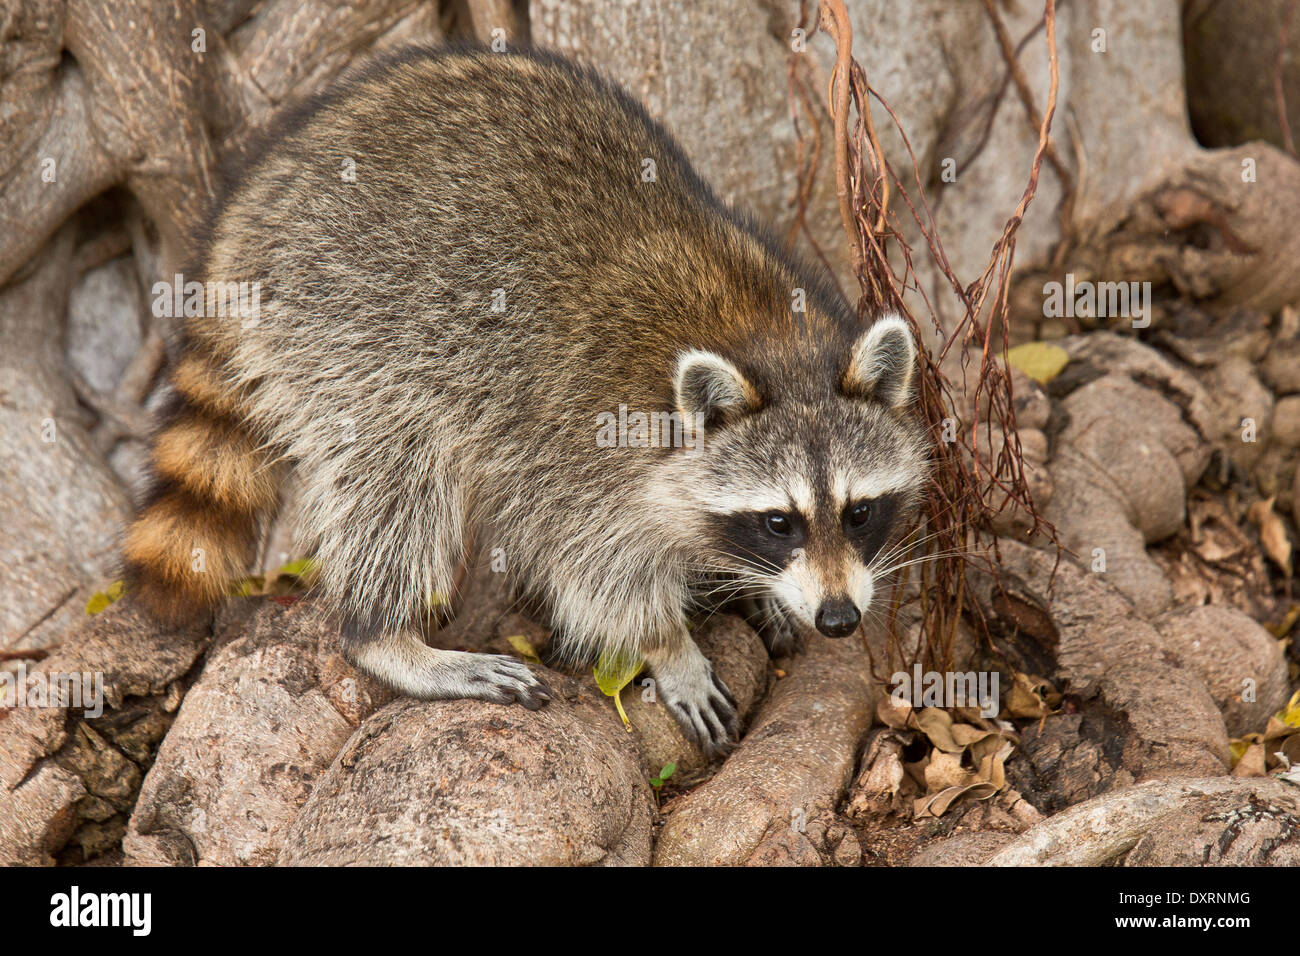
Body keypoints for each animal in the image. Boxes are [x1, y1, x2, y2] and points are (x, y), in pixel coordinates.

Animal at [124, 46, 925, 754]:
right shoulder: (581, 450)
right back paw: (385, 636)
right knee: (398, 479)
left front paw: (753, 585)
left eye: (859, 513)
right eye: (779, 521)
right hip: (342, 324)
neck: (765, 341)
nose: (839, 619)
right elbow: (593, 572)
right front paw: (668, 646)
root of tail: (250, 210)